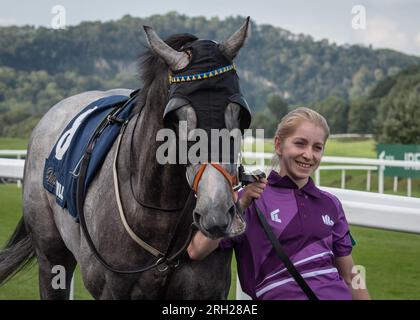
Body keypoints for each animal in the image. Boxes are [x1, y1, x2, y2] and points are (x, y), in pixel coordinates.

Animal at [0, 18, 251, 300]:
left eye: (240, 114)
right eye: (175, 117)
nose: (215, 211)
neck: (159, 212)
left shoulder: (207, 290)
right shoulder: (112, 288)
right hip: (51, 256)